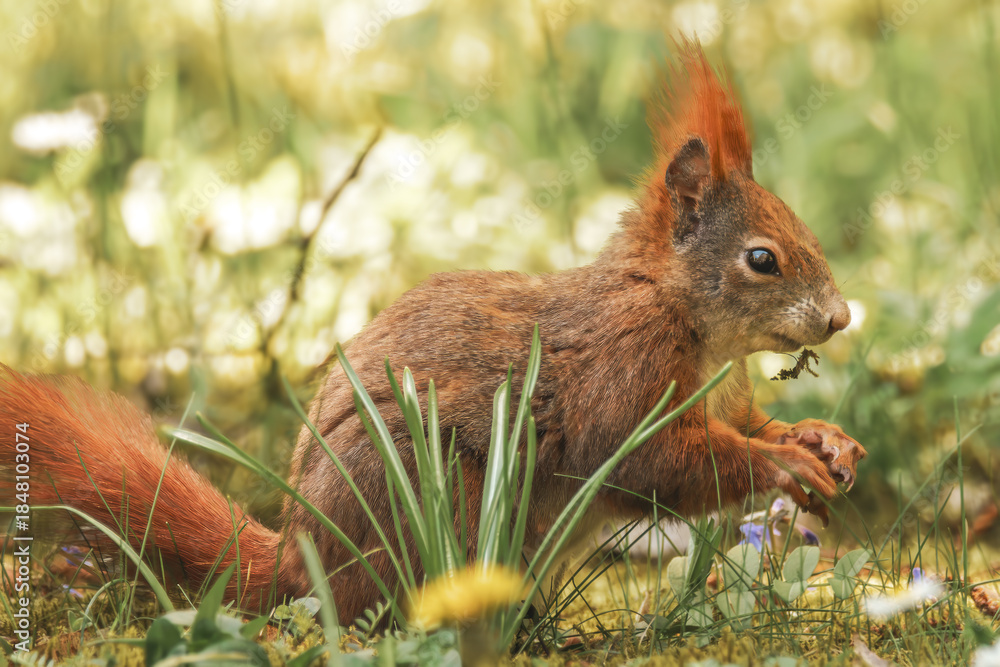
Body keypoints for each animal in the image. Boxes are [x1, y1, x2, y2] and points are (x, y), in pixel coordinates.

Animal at [0, 45, 865, 625]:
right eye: (762, 258)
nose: (838, 317)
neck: (693, 326)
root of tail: (302, 563)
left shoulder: (728, 397)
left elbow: (749, 425)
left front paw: (822, 440)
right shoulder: (622, 379)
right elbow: (663, 462)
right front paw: (786, 464)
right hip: (431, 493)